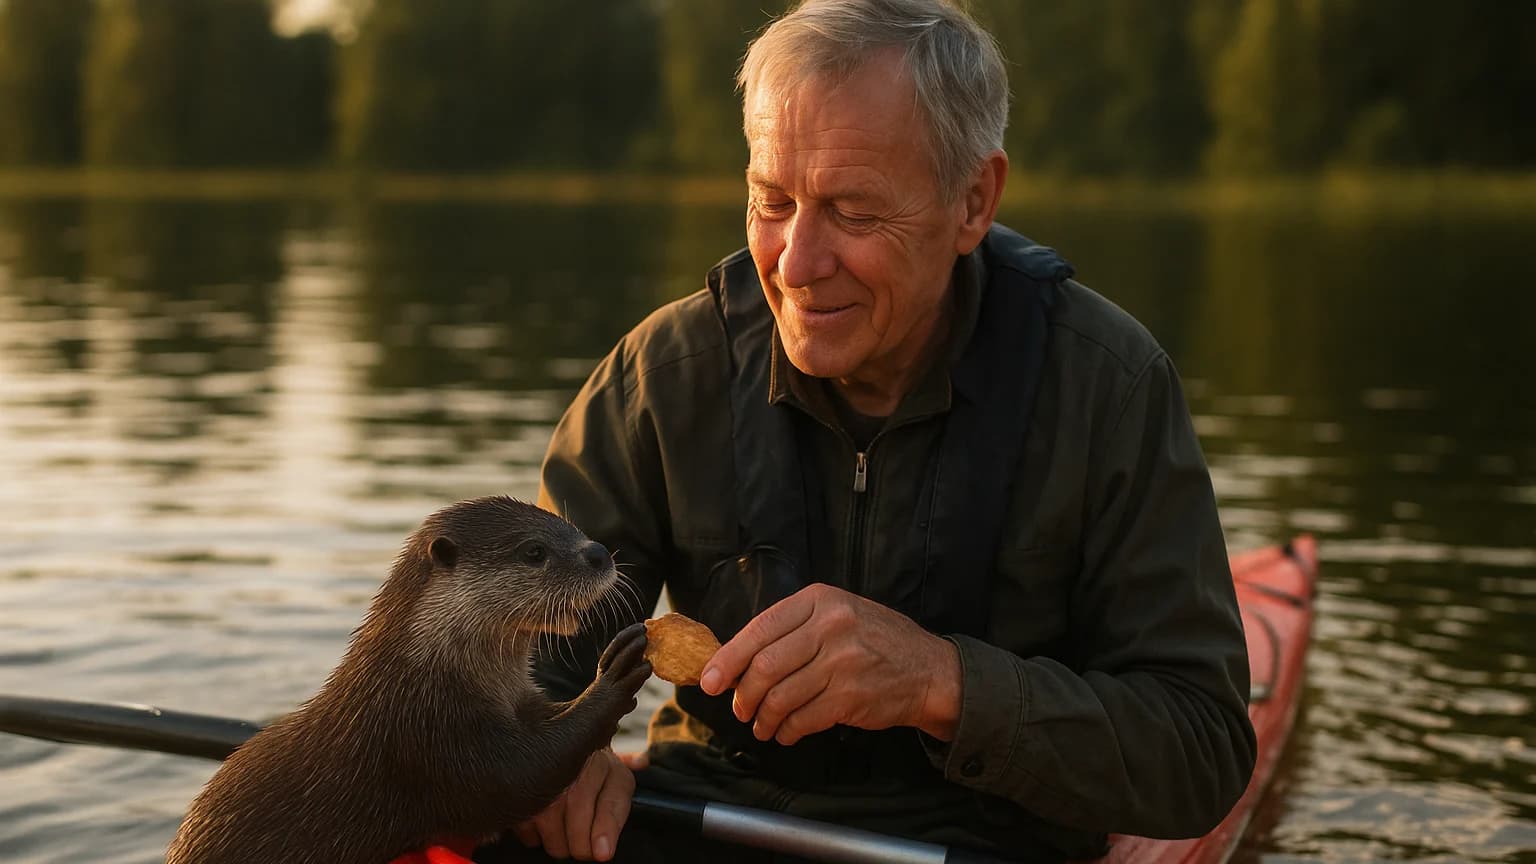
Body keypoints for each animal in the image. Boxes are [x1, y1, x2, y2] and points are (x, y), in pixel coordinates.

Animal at [167, 496, 651, 864]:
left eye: (572, 527)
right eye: (534, 551)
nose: (599, 552)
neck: (424, 672)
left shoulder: (517, 702)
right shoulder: (428, 737)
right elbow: (519, 777)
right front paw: (614, 677)